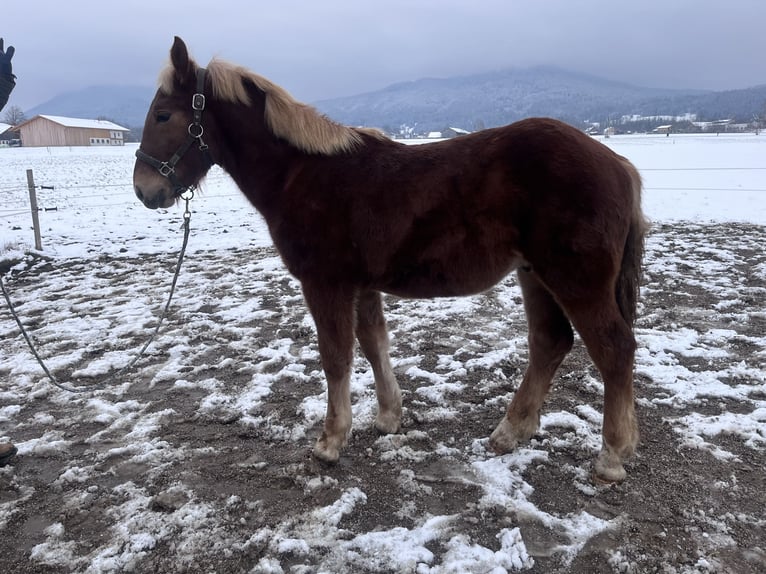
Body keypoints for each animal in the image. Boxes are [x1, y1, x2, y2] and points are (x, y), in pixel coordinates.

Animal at [134, 38, 648, 484]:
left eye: (163, 114)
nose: (144, 190)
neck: (302, 175)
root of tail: (619, 164)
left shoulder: (325, 283)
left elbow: (336, 357)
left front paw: (330, 442)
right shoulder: (363, 285)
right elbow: (374, 344)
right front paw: (388, 418)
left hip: (575, 279)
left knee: (613, 348)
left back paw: (611, 456)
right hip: (535, 275)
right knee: (550, 341)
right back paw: (509, 433)